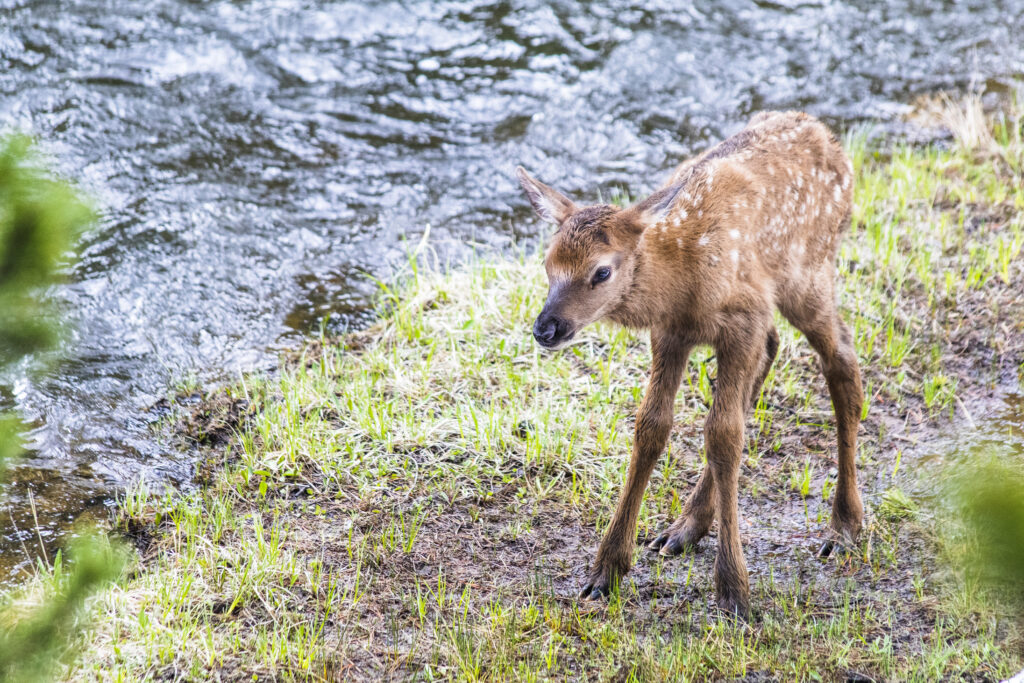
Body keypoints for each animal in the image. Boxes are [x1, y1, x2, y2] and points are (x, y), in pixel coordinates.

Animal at [516, 109, 860, 618]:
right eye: (547, 264)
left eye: (602, 271)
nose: (547, 328)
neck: (682, 284)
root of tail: (830, 139)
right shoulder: (672, 335)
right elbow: (651, 427)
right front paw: (606, 570)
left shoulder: (742, 318)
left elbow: (724, 436)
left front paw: (734, 589)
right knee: (776, 349)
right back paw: (685, 527)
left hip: (808, 275)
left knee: (842, 363)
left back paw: (844, 527)